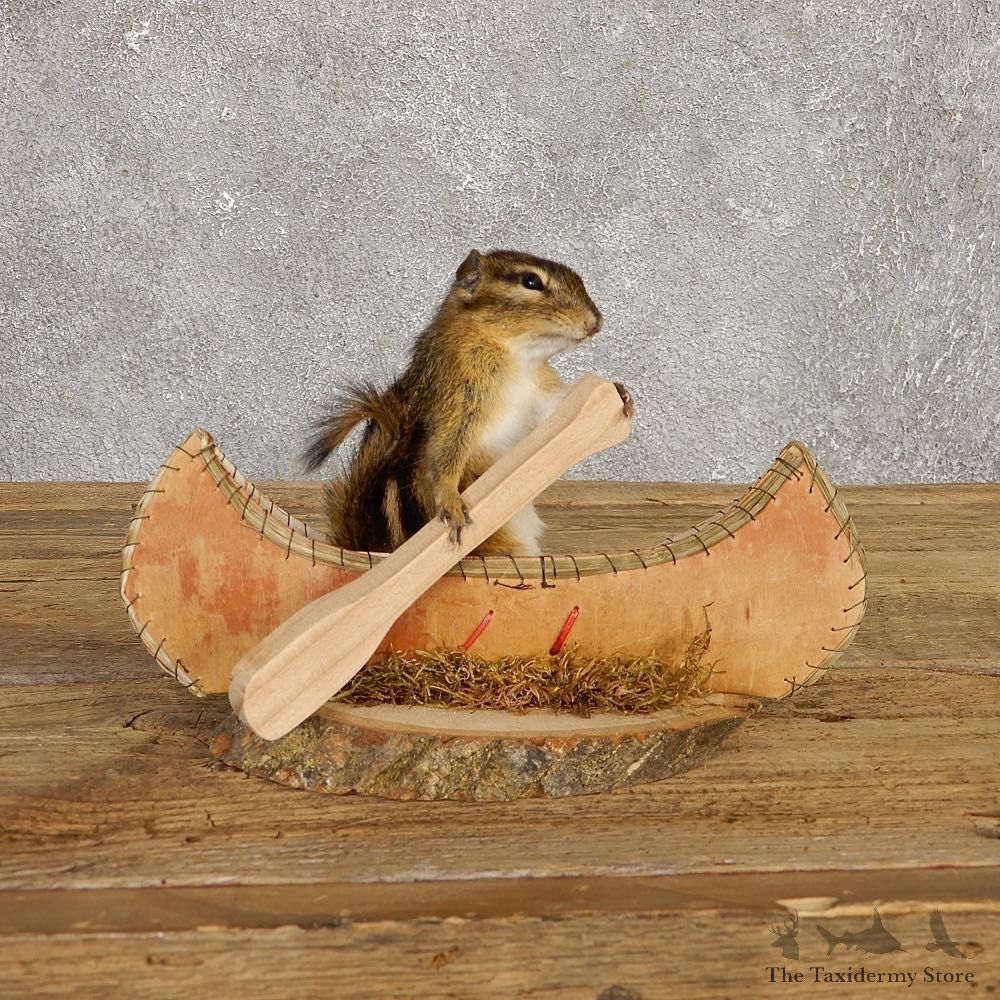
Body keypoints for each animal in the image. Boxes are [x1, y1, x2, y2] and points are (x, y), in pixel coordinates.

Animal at [304, 249, 606, 555]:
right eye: (531, 281)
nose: (594, 323)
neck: (517, 357)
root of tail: (369, 547)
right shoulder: (457, 404)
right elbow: (445, 454)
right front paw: (451, 500)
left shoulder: (541, 394)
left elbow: (558, 412)